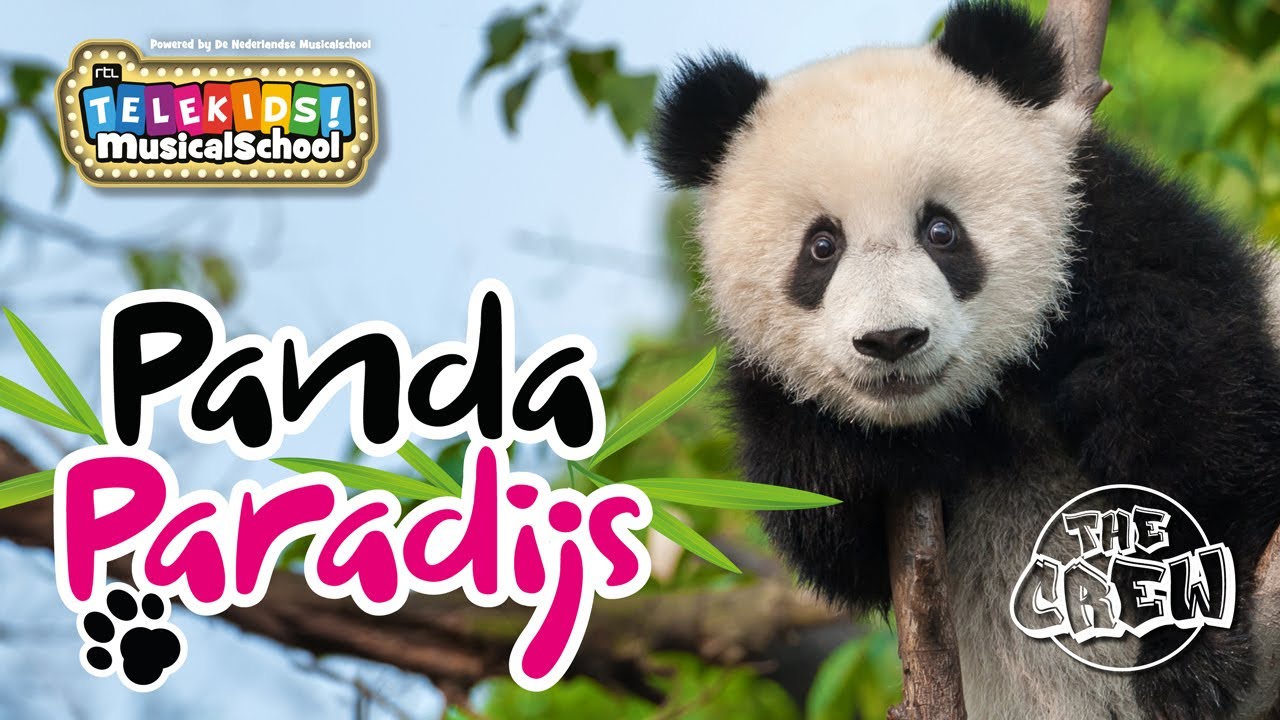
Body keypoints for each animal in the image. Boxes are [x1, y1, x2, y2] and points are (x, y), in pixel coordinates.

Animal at [648, 2, 1280, 719]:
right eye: (821, 247)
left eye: (941, 230)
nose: (892, 340)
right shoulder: (766, 385)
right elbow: (827, 530)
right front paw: (875, 457)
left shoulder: (1111, 234)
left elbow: (1200, 410)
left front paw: (1190, 659)